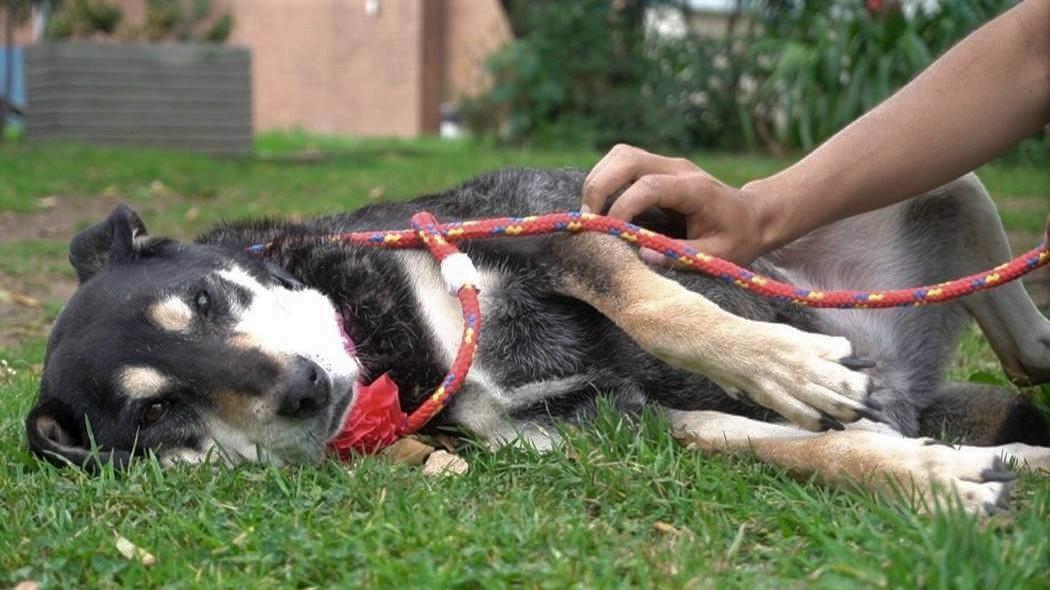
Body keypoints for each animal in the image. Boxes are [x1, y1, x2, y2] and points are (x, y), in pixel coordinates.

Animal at [24, 167, 1050, 512]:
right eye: (162, 417)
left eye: (202, 297)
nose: (304, 388)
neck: (400, 349)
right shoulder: (619, 424)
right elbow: (805, 452)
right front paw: (932, 482)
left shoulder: (543, 225)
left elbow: (661, 309)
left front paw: (787, 366)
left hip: (946, 191)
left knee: (1027, 346)